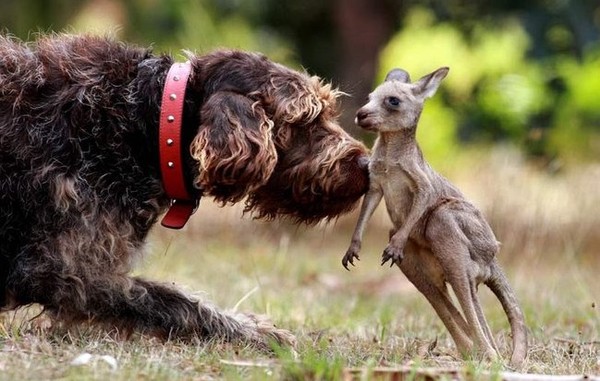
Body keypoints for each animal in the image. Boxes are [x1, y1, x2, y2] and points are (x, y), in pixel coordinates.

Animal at [0, 34, 370, 346]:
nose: (366, 164)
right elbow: (177, 302)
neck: (149, 121)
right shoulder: (67, 272)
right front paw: (256, 332)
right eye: (306, 120)